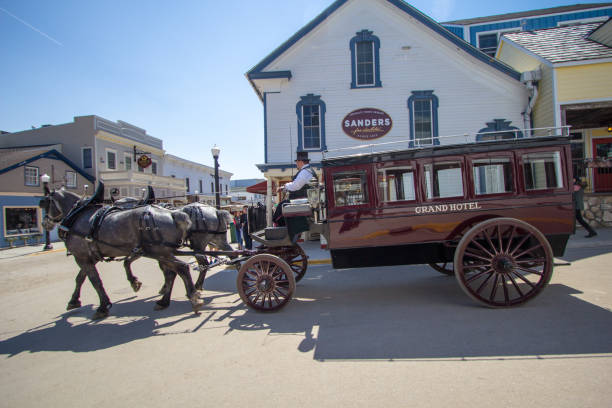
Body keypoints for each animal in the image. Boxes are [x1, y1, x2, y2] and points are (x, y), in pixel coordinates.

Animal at [41, 184, 203, 318]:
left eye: (45, 202)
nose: (44, 223)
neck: (78, 215)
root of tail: (173, 214)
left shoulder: (81, 256)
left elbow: (95, 280)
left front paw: (102, 307)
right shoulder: (90, 256)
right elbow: (81, 278)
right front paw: (74, 300)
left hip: (160, 251)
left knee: (182, 268)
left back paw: (193, 297)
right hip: (162, 252)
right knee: (174, 272)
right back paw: (165, 300)